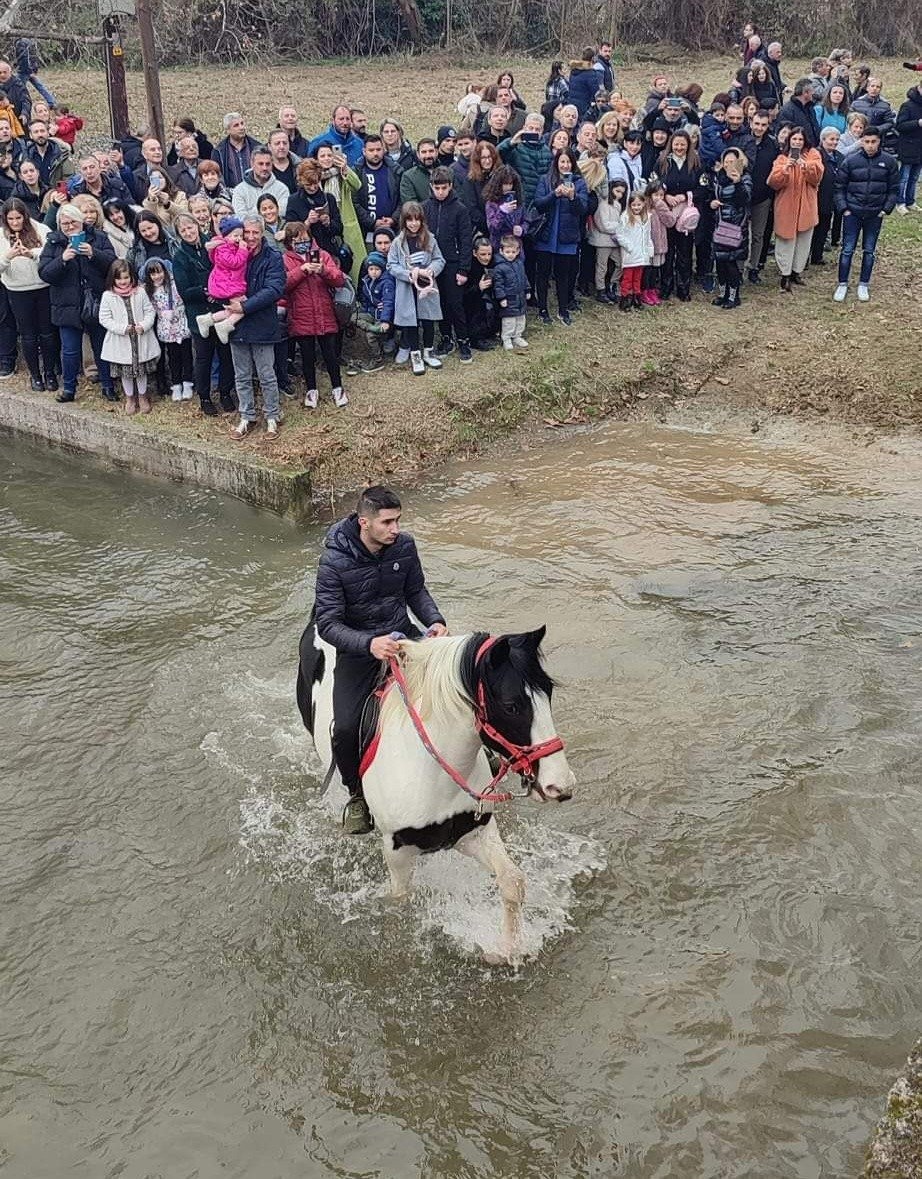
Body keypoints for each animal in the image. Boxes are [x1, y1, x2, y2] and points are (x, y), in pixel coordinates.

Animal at [295, 622, 573, 962]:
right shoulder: (397, 851)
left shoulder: (475, 832)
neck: (429, 767)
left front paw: (506, 949)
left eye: (549, 692)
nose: (561, 785)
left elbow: (512, 882)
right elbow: (401, 902)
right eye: (511, 705)